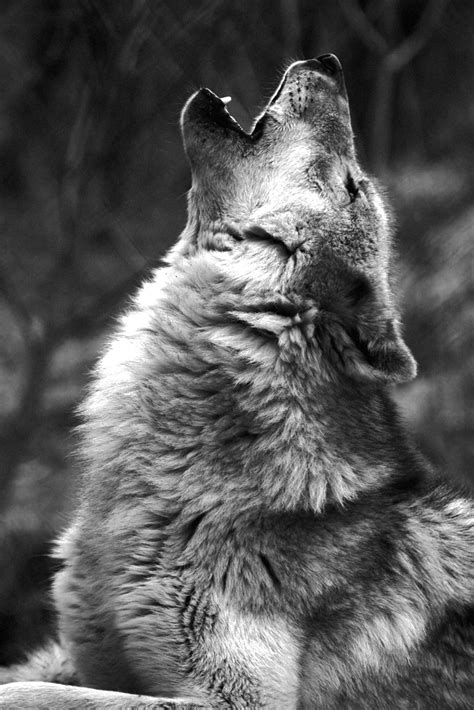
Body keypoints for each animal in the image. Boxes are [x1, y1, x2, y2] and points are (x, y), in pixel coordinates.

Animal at [0, 55, 472, 709]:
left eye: (351, 184)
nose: (329, 62)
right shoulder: (86, 653)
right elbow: (41, 677)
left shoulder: (236, 697)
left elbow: (42, 692)